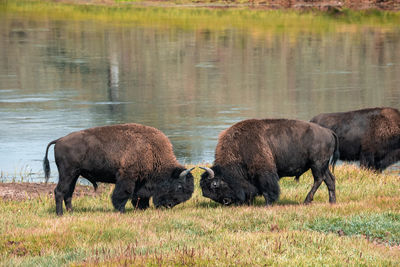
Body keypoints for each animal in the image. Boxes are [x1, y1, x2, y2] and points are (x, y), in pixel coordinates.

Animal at [43, 123, 194, 216]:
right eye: (179, 187)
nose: (169, 205)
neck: (152, 150)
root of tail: (60, 140)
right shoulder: (127, 177)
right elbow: (123, 194)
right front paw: (121, 210)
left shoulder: (141, 181)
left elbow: (139, 195)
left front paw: (142, 208)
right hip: (67, 174)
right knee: (59, 191)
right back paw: (60, 214)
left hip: (74, 175)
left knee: (68, 193)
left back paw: (71, 212)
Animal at [200, 119, 338, 207]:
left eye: (214, 185)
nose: (226, 201)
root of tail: (329, 132)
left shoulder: (264, 172)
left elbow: (268, 188)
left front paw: (267, 204)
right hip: (322, 166)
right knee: (329, 180)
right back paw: (332, 202)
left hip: (317, 164)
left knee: (319, 179)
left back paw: (306, 201)